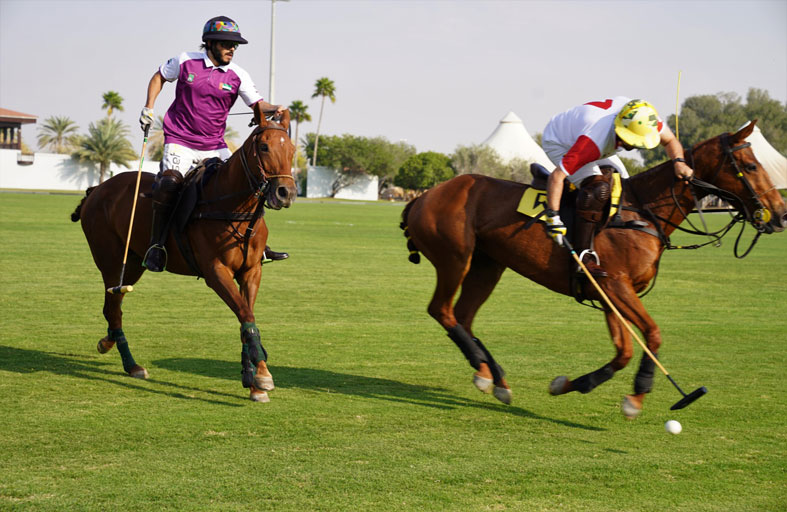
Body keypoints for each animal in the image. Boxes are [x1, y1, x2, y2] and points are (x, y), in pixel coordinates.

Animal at [71, 111, 298, 400]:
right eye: (264, 147)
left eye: (291, 149)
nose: (286, 193)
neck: (236, 209)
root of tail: (97, 189)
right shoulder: (216, 271)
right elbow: (246, 315)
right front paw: (262, 377)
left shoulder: (251, 272)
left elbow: (245, 317)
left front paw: (252, 378)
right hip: (110, 259)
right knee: (114, 307)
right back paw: (131, 364)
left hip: (132, 263)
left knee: (112, 305)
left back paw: (108, 343)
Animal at [404, 122, 784, 418]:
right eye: (750, 166)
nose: (779, 215)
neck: (643, 212)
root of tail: (421, 197)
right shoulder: (615, 286)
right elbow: (652, 335)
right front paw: (637, 396)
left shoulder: (607, 291)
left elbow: (624, 351)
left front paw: (572, 384)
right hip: (455, 257)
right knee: (442, 310)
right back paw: (484, 372)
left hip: (488, 265)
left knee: (463, 315)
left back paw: (495, 378)